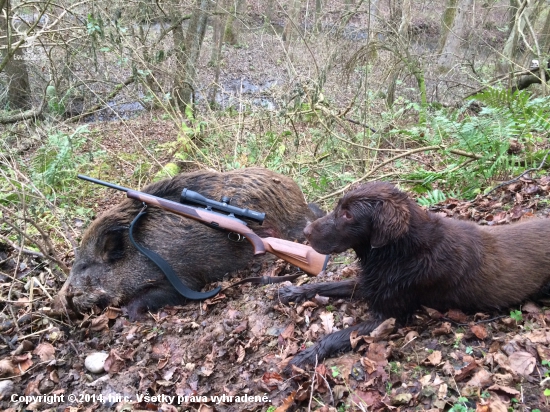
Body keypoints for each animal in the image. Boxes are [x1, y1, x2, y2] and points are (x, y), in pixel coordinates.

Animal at [286, 182, 550, 368]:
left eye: (348, 215)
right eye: (338, 208)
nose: (305, 232)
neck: (398, 251)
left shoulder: (390, 315)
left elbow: (337, 335)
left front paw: (308, 354)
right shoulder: (371, 283)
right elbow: (329, 285)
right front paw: (293, 291)